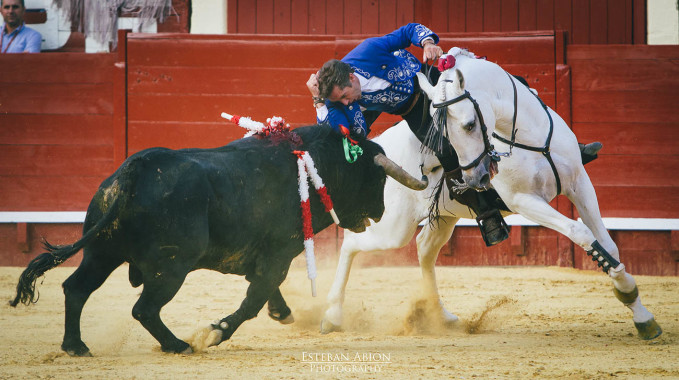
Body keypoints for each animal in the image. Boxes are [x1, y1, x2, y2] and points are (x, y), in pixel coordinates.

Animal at [9, 125, 424, 356]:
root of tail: (135, 168)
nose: (380, 211)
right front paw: (215, 333)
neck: (313, 165)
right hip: (170, 268)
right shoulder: (278, 253)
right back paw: (179, 345)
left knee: (76, 289)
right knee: (144, 308)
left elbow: (262, 289)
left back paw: (76, 347)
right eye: (376, 178)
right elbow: (254, 298)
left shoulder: (262, 257)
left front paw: (282, 313)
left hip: (101, 253)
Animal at [322, 46, 660, 338]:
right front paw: (628, 292)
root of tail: (378, 149)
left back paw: (440, 316)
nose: (475, 178)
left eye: (470, 124)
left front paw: (641, 315)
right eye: (442, 132)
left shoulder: (580, 182)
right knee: (352, 243)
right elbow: (580, 232)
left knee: (424, 249)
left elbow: (608, 244)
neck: (526, 136)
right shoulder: (524, 201)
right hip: (393, 227)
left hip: (443, 218)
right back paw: (332, 315)